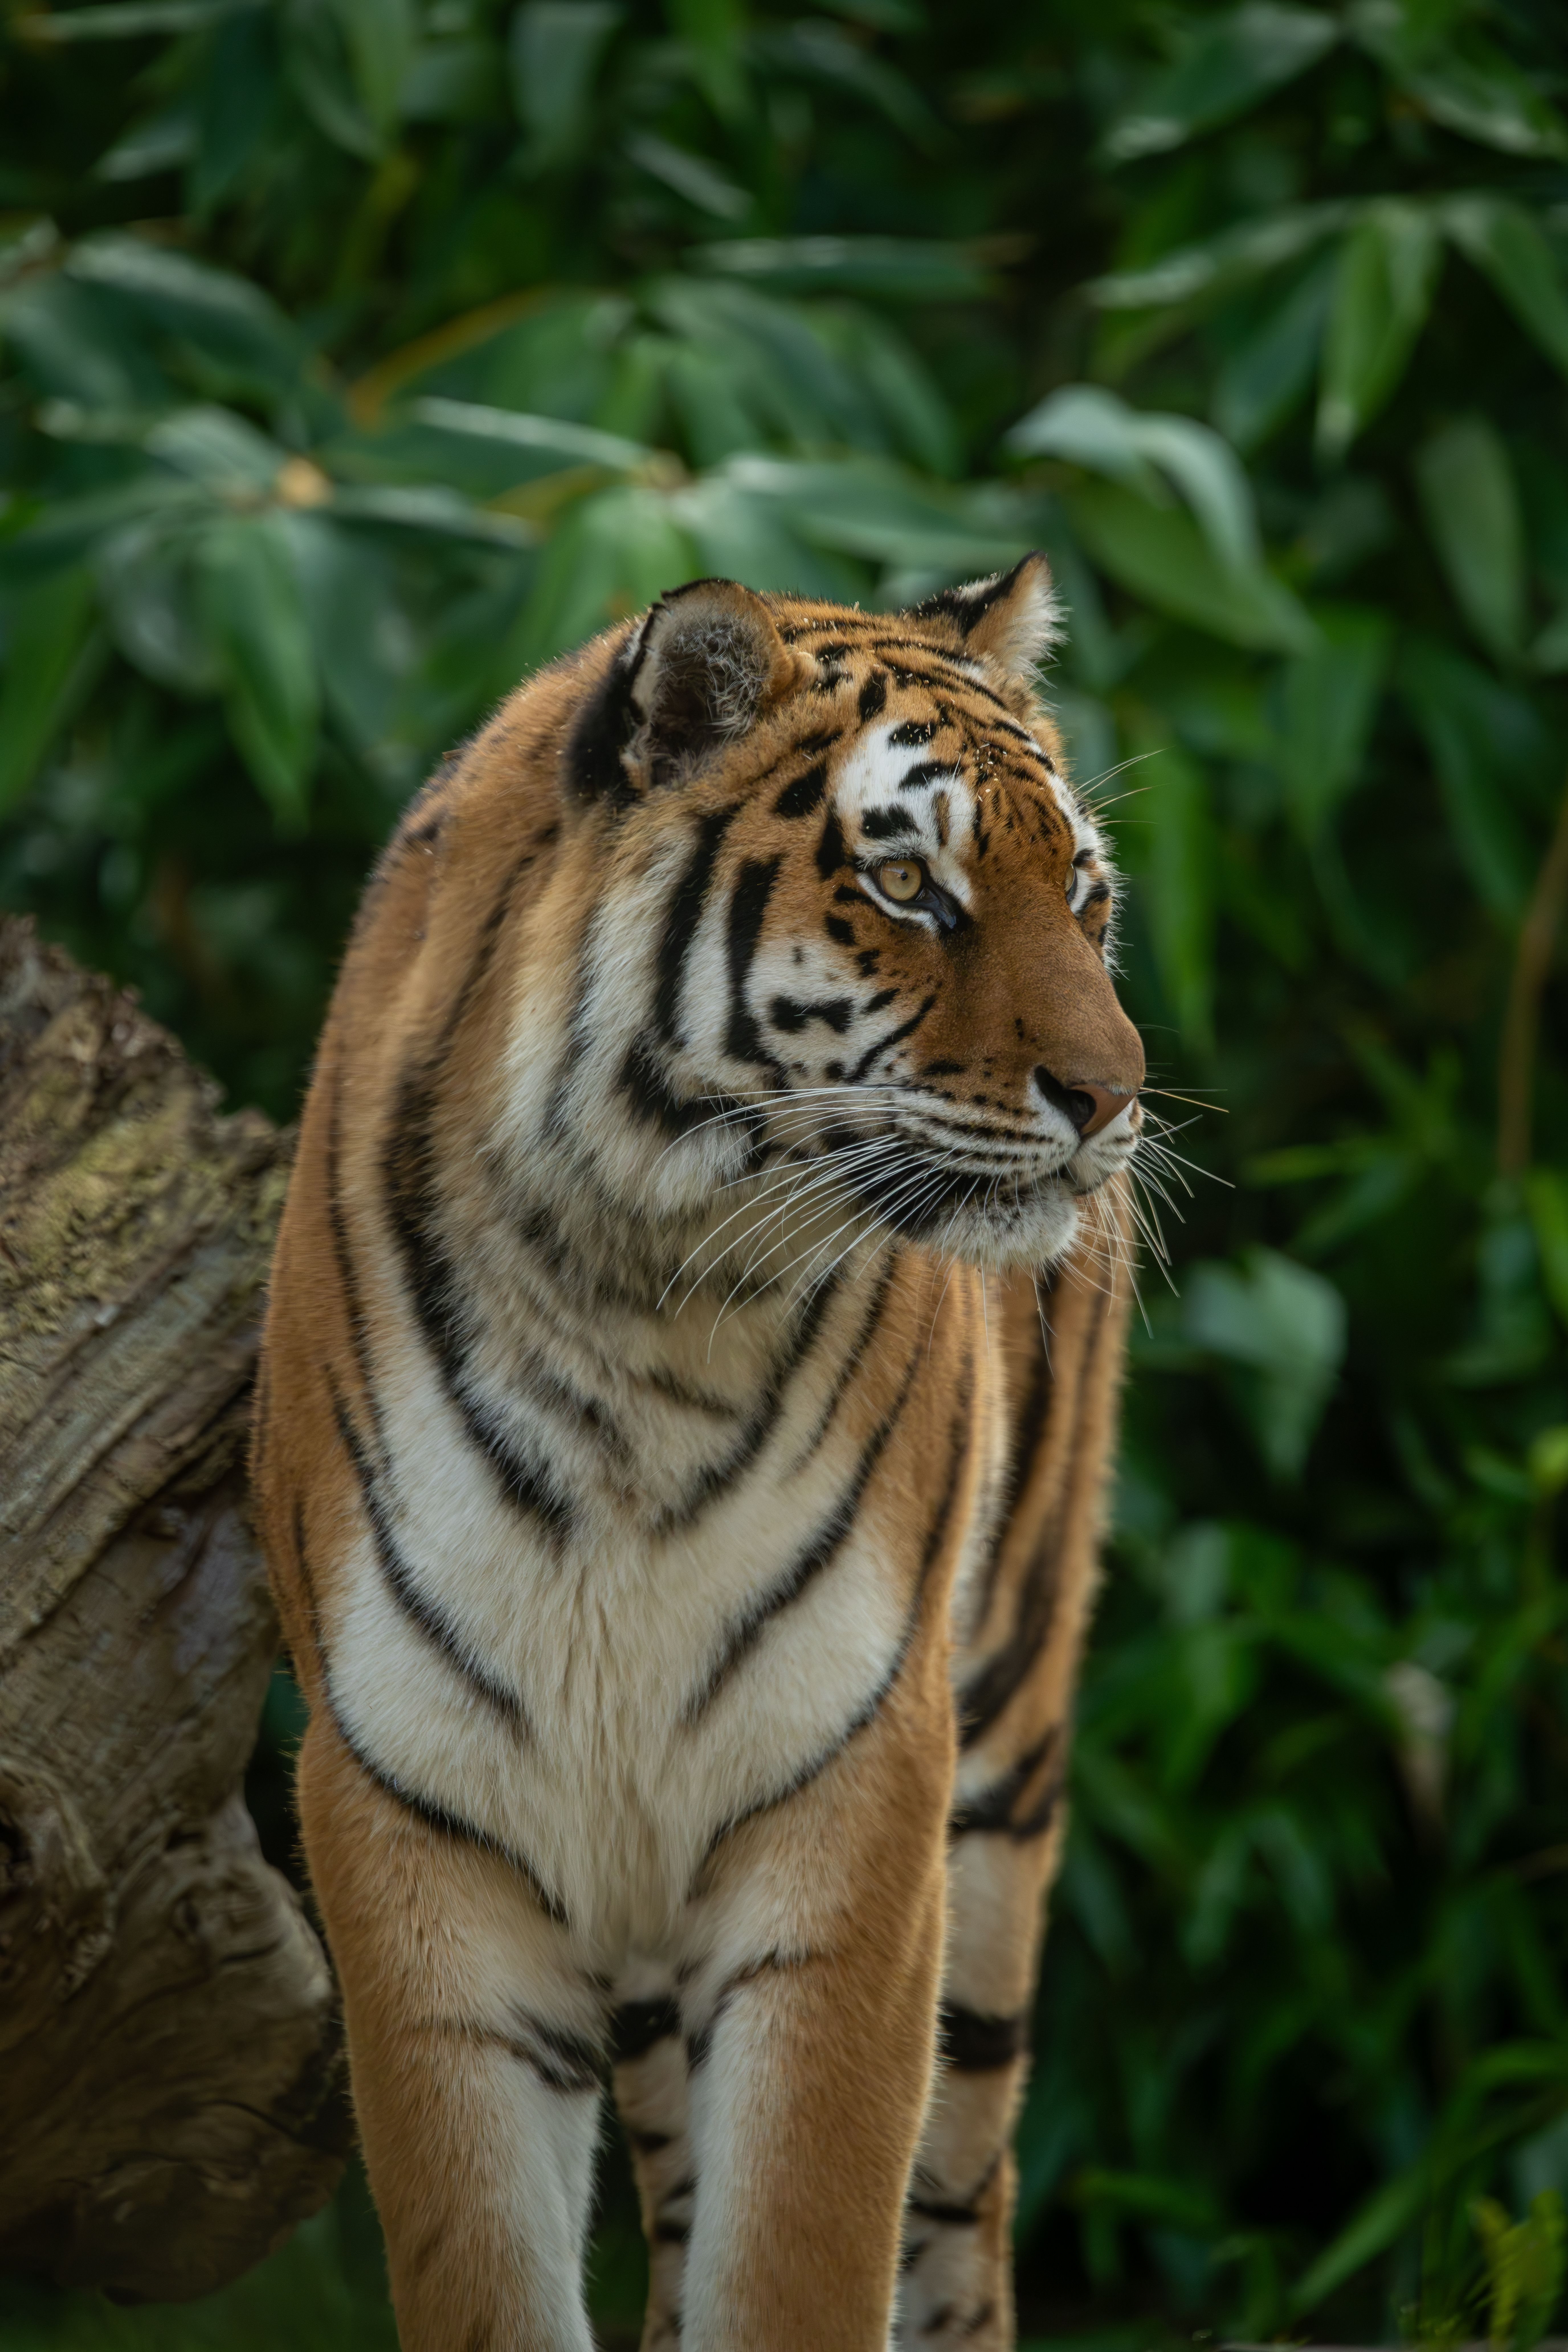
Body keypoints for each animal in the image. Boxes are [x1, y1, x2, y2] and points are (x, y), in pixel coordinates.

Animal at [251, 553, 1145, 2352]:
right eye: (910, 887)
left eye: (1079, 896)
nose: (1116, 1097)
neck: (638, 1311)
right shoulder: (407, 1809)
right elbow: (484, 2271)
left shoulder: (852, 1789)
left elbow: (801, 2252)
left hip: (1000, 1764)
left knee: (961, 2203)